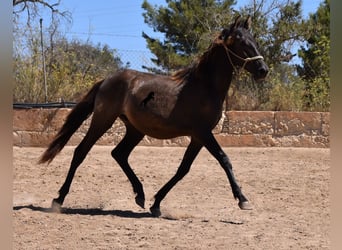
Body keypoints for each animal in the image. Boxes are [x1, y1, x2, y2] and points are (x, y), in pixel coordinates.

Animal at [38, 15, 268, 217]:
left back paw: (140, 195)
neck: (204, 87)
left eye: (254, 40)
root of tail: (106, 80)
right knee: (81, 152)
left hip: (135, 129)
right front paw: (243, 200)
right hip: (103, 120)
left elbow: (183, 169)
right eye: (241, 42)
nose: (263, 70)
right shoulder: (203, 133)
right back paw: (58, 200)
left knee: (119, 154)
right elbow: (224, 159)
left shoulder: (197, 137)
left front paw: (156, 203)